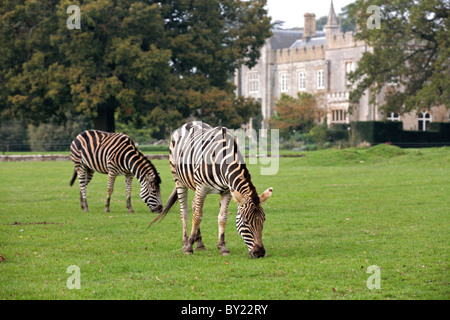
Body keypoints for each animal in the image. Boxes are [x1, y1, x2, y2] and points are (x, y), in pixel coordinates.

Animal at [149, 121, 272, 258]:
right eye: (246, 222)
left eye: (263, 220)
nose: (259, 252)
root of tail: (190, 122)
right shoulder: (202, 188)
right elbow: (197, 217)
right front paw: (189, 248)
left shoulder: (227, 191)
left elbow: (222, 218)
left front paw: (222, 247)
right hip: (179, 180)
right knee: (184, 211)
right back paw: (185, 242)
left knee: (193, 205)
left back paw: (199, 243)